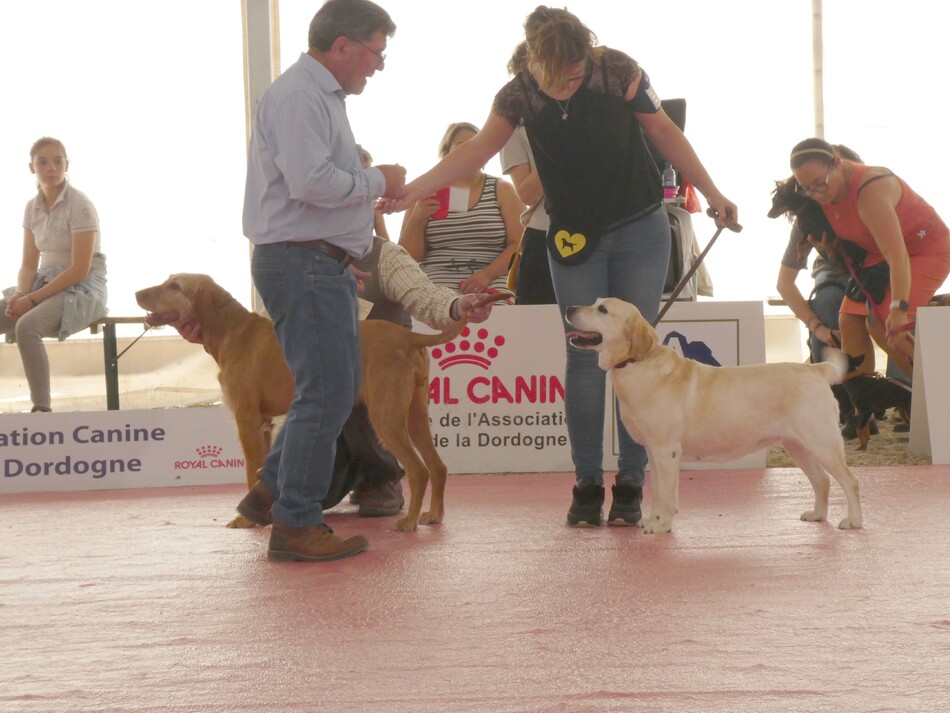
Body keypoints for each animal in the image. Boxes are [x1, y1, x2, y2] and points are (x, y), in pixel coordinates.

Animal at [568, 296, 868, 536]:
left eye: (603, 309)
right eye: (595, 302)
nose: (570, 308)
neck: (636, 362)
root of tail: (816, 369)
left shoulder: (667, 451)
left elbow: (666, 494)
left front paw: (661, 525)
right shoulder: (653, 452)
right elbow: (658, 491)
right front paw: (652, 519)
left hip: (822, 442)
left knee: (850, 480)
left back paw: (853, 521)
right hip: (798, 445)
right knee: (822, 480)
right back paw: (817, 515)